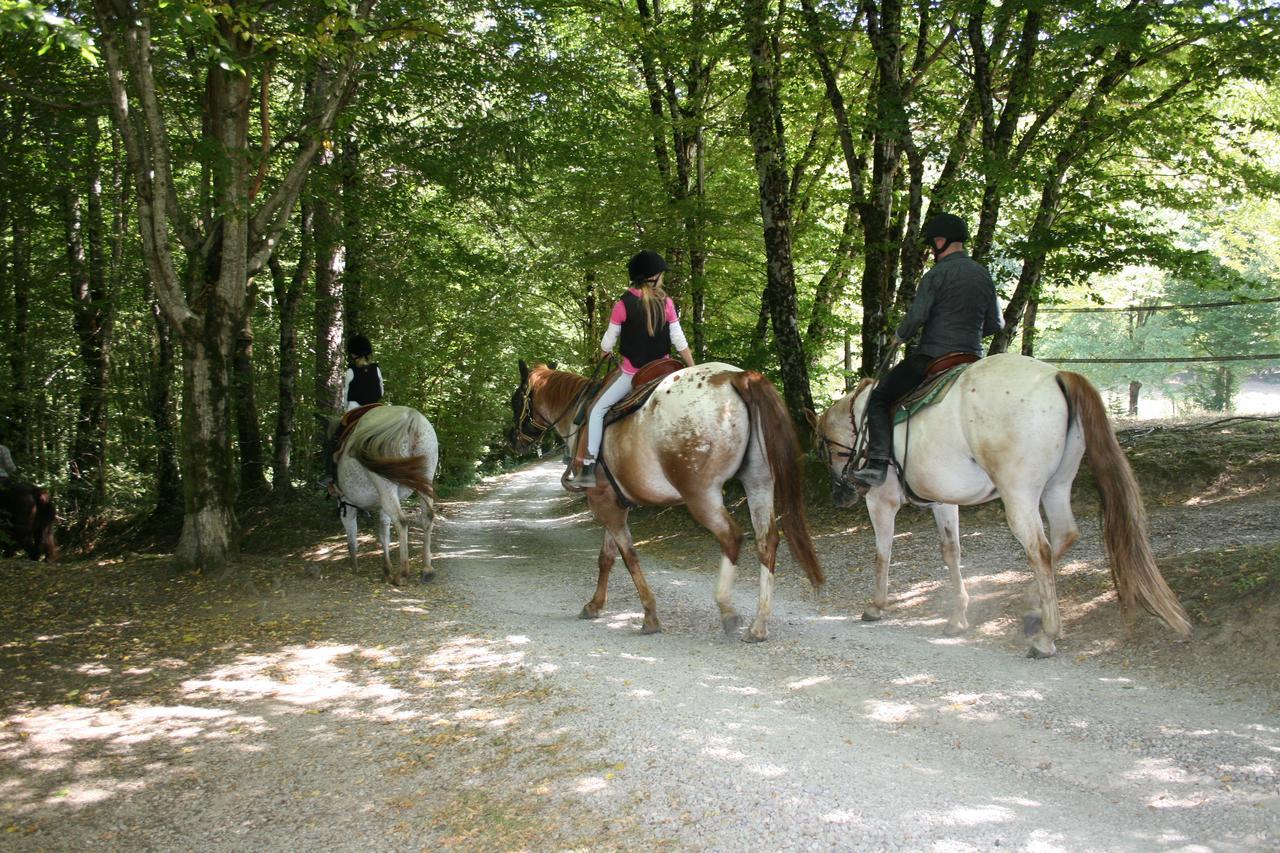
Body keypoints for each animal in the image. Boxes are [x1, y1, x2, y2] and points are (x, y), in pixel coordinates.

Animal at [330, 402, 440, 581]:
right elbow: (383, 532)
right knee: (427, 517)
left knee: (401, 521)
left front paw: (355, 568)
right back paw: (427, 569)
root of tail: (411, 417)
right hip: (424, 480)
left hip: (385, 486)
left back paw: (402, 574)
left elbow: (351, 535)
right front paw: (386, 569)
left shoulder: (346, 503)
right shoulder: (381, 504)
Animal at [504, 356, 824, 640]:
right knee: (766, 540)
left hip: (701, 496)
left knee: (732, 537)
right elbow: (606, 557)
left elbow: (629, 556)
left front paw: (650, 615)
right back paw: (759, 625)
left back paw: (727, 609)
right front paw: (594, 605)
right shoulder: (616, 503)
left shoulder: (603, 502)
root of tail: (737, 377)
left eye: (516, 400)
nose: (513, 440)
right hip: (758, 483)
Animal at [808, 348, 1187, 653]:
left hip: (1018, 494)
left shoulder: (881, 501)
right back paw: (1033, 608)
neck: (863, 422)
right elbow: (951, 552)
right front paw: (958, 617)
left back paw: (1047, 635)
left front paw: (876, 606)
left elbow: (882, 553)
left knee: (1040, 549)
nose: (840, 495)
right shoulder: (943, 501)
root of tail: (1055, 375)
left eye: (823, 448)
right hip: (1056, 486)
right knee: (1065, 534)